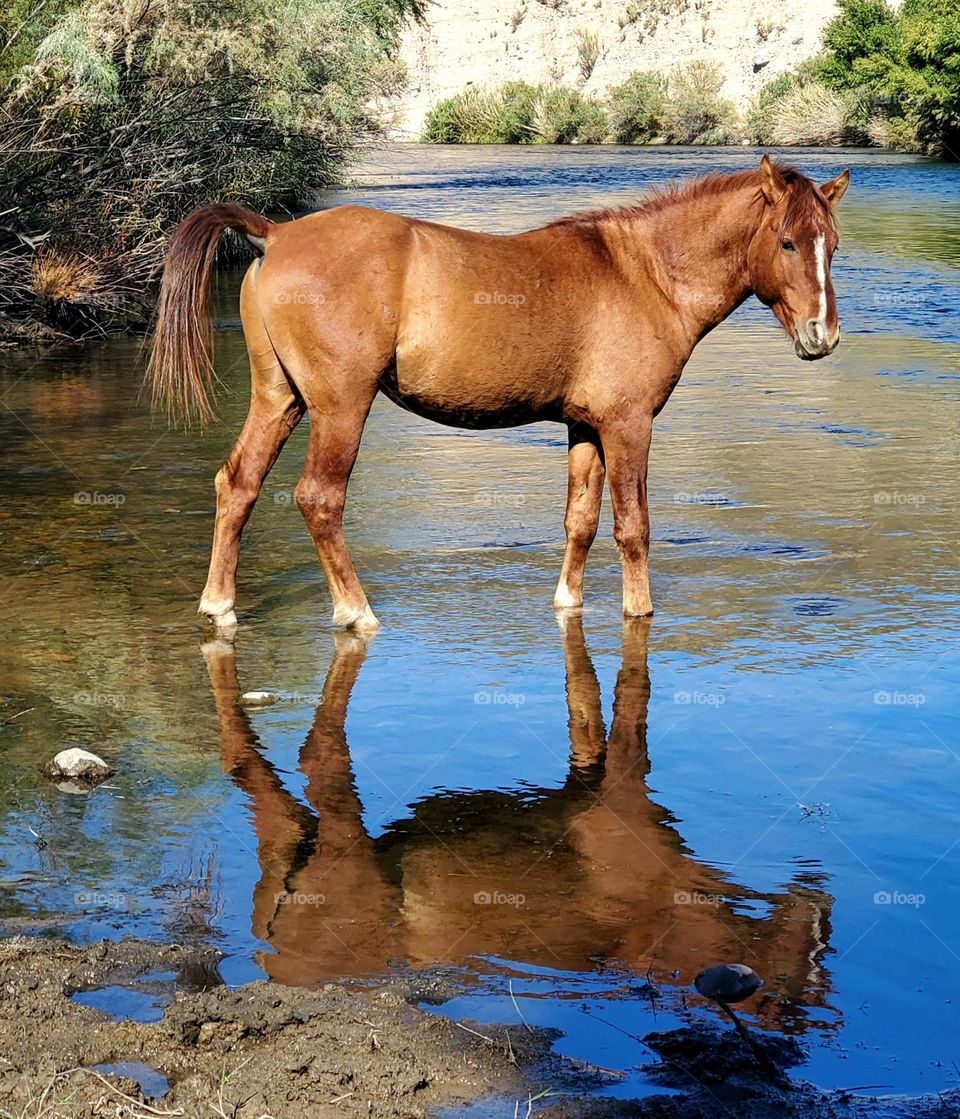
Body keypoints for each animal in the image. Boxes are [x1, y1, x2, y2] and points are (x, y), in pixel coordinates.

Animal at [148, 155, 849, 631]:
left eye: (833, 246)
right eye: (788, 242)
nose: (823, 336)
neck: (645, 274)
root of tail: (277, 233)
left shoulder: (584, 427)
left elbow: (579, 522)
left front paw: (568, 600)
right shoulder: (629, 425)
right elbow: (633, 527)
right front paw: (639, 611)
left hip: (280, 397)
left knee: (238, 484)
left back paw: (219, 603)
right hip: (340, 405)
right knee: (319, 498)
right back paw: (356, 612)